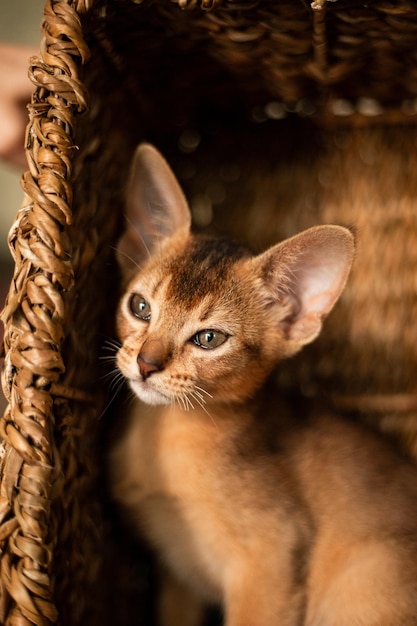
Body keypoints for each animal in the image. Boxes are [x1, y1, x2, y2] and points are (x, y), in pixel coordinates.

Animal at [109, 144, 416, 620]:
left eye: (209, 338)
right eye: (140, 307)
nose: (145, 363)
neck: (163, 438)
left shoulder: (272, 556)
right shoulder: (178, 576)